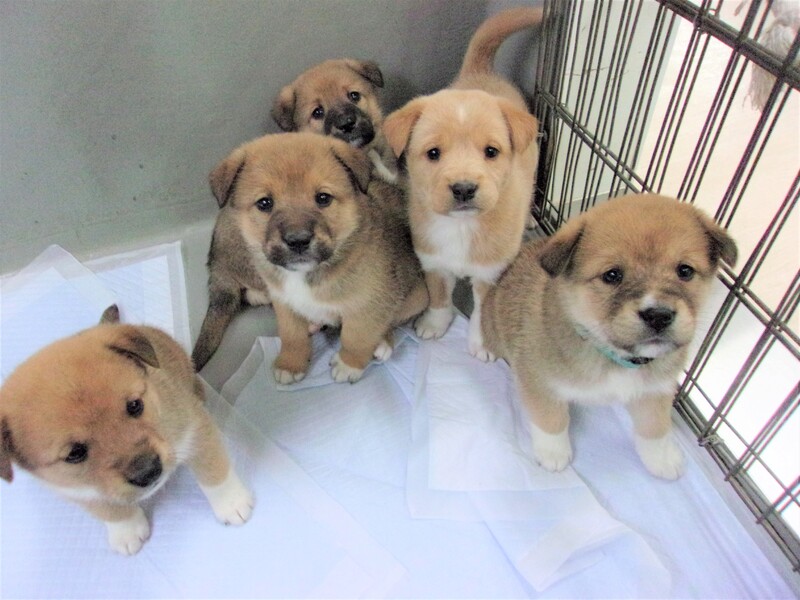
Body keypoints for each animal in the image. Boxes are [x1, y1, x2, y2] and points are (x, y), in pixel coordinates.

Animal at [0, 305, 254, 555]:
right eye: (74, 453)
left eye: (134, 405)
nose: (148, 472)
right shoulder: (75, 490)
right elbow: (108, 510)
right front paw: (126, 531)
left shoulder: (196, 431)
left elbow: (214, 473)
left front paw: (232, 503)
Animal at [206, 131, 428, 384]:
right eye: (264, 203)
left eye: (323, 198)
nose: (298, 240)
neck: (306, 276)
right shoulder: (284, 302)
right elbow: (292, 335)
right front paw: (291, 364)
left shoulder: (367, 305)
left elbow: (356, 337)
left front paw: (348, 365)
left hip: (417, 298)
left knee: (389, 321)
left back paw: (382, 343)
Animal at [383, 7, 543, 361]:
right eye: (433, 153)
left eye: (491, 152)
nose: (464, 188)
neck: (461, 226)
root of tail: (480, 72)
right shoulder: (433, 260)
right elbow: (440, 295)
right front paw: (435, 323)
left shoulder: (490, 272)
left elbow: (482, 313)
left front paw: (482, 343)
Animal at [481, 194, 738, 479]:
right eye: (612, 275)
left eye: (685, 271)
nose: (658, 315)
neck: (614, 355)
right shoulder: (540, 383)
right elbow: (551, 421)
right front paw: (554, 454)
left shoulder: (655, 390)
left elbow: (655, 428)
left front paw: (662, 459)